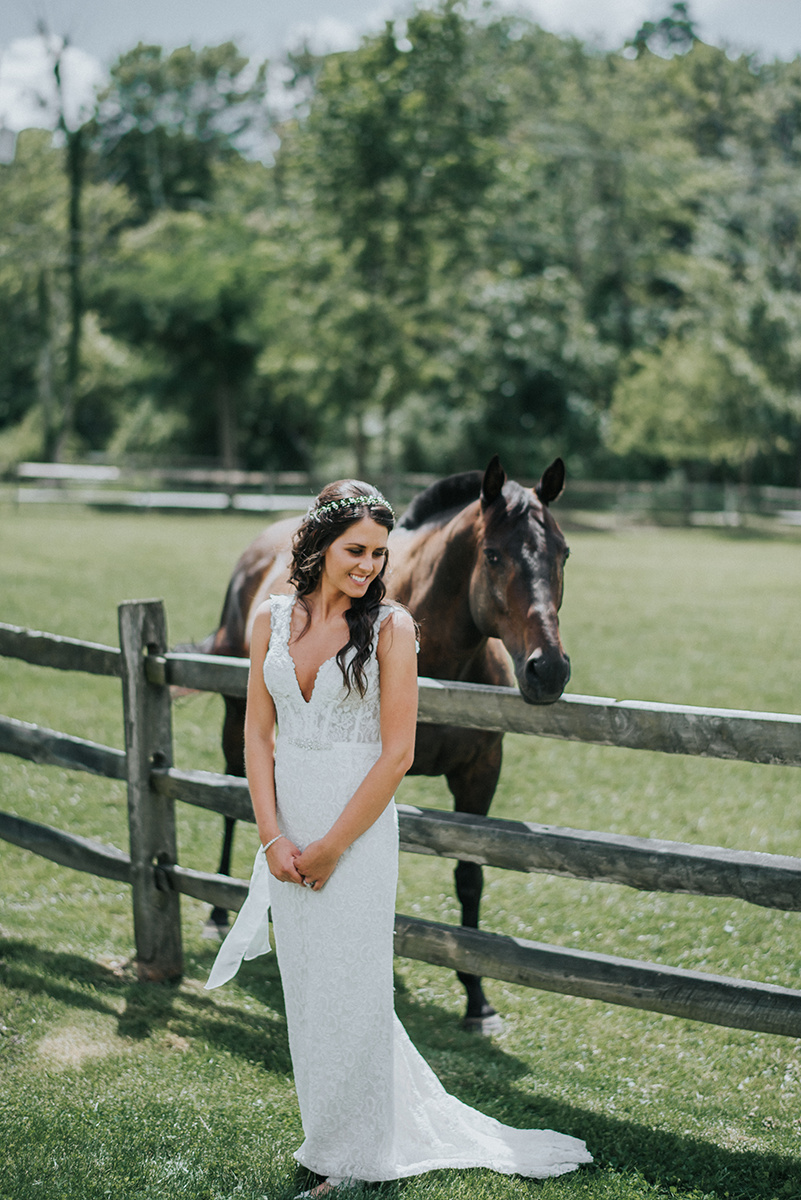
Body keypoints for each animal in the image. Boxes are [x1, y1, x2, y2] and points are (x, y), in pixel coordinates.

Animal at [206, 453, 568, 1027]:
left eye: (563, 552)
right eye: (493, 555)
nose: (548, 669)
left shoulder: (479, 773)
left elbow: (470, 876)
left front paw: (477, 999)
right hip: (235, 717)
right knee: (227, 800)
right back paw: (217, 913)